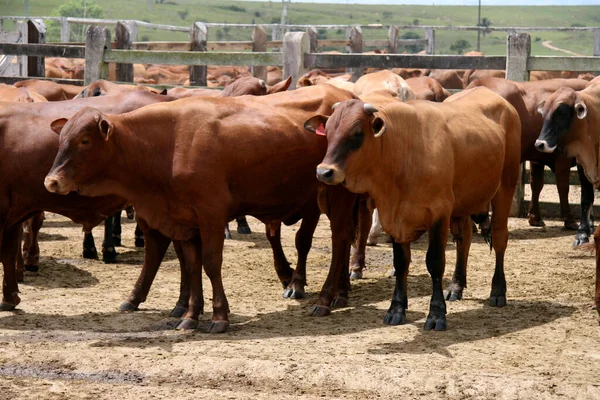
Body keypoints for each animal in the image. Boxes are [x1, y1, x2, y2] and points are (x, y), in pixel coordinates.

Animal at [44, 86, 358, 332]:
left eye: (85, 140)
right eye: (61, 140)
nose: (51, 181)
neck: (168, 144)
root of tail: (346, 95)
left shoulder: (211, 215)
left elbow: (210, 263)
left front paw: (219, 316)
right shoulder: (185, 221)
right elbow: (192, 266)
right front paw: (190, 315)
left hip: (336, 193)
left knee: (340, 240)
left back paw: (326, 297)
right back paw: (339, 291)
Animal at [312, 86, 524, 328]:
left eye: (357, 133)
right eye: (328, 131)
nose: (324, 172)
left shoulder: (439, 214)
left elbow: (435, 262)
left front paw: (436, 314)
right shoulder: (393, 218)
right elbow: (401, 263)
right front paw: (396, 309)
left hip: (505, 186)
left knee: (499, 237)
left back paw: (498, 291)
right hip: (464, 203)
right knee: (464, 241)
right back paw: (456, 286)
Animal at [466, 77, 588, 231]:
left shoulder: (537, 156)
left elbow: (536, 184)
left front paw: (535, 218)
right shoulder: (563, 158)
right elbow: (563, 187)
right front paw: (569, 220)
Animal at [536, 82, 600, 318]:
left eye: (561, 113)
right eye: (544, 113)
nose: (540, 144)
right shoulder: (582, 165)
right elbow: (585, 198)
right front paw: (582, 234)